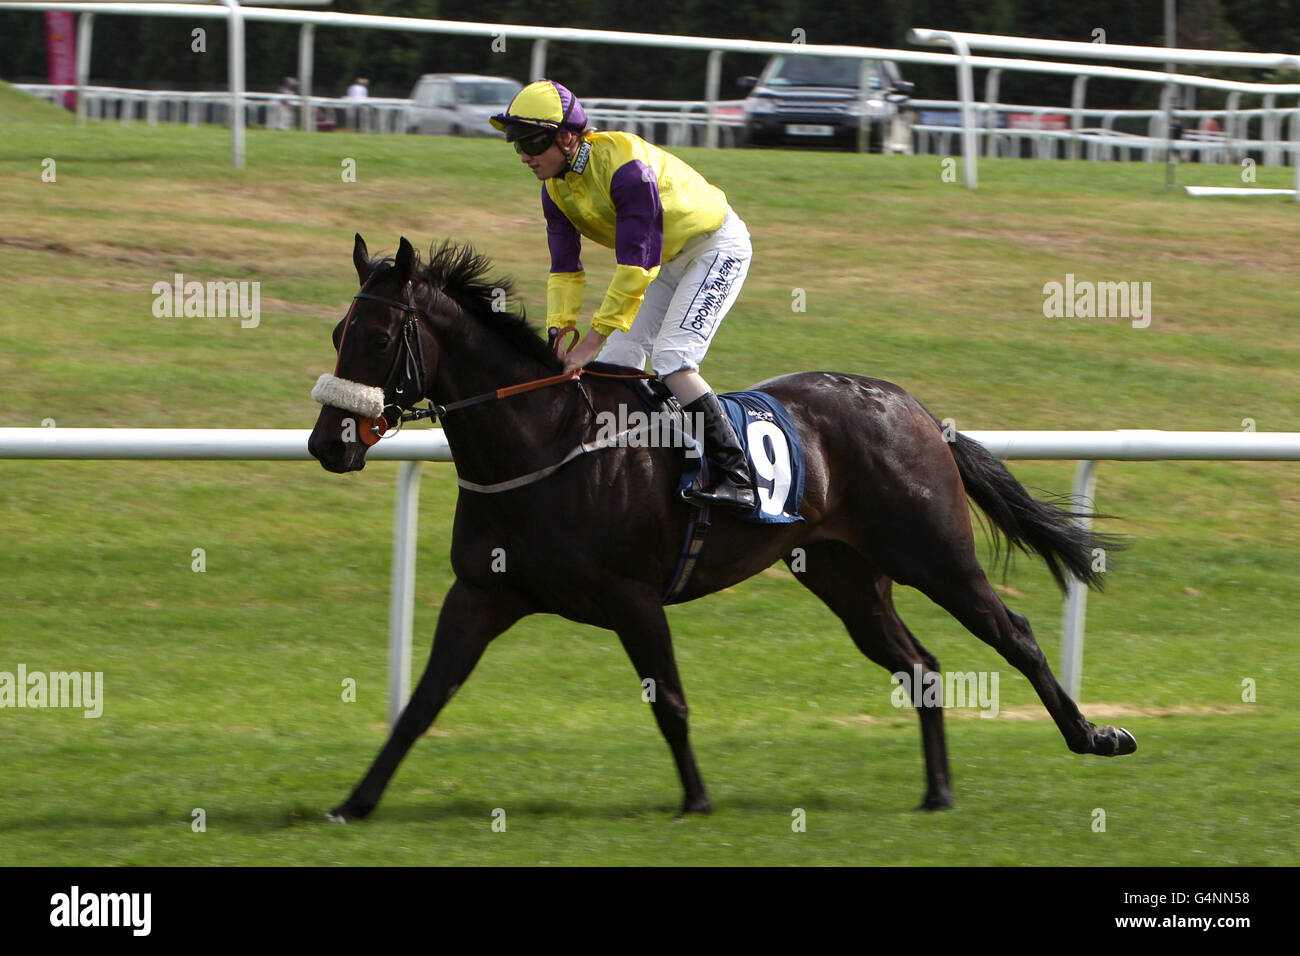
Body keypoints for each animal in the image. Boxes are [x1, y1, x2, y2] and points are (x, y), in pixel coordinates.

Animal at [309, 235, 1133, 816]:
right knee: (920, 664)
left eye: (377, 339)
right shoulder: (483, 591)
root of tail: (914, 408)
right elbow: (422, 703)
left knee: (1013, 633)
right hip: (843, 573)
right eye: (338, 331)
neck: (543, 442)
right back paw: (938, 792)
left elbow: (669, 703)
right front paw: (354, 803)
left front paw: (697, 799)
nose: (327, 444)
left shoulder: (632, 596)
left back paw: (1094, 736)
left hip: (935, 554)